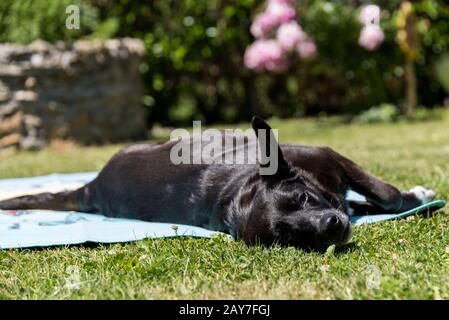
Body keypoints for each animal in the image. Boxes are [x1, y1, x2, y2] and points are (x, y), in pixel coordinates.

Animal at [0, 116, 434, 251]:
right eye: (290, 237)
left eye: (302, 197)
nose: (331, 225)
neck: (240, 193)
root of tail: (91, 186)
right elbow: (381, 198)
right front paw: (414, 196)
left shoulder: (330, 158)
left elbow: (381, 194)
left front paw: (405, 197)